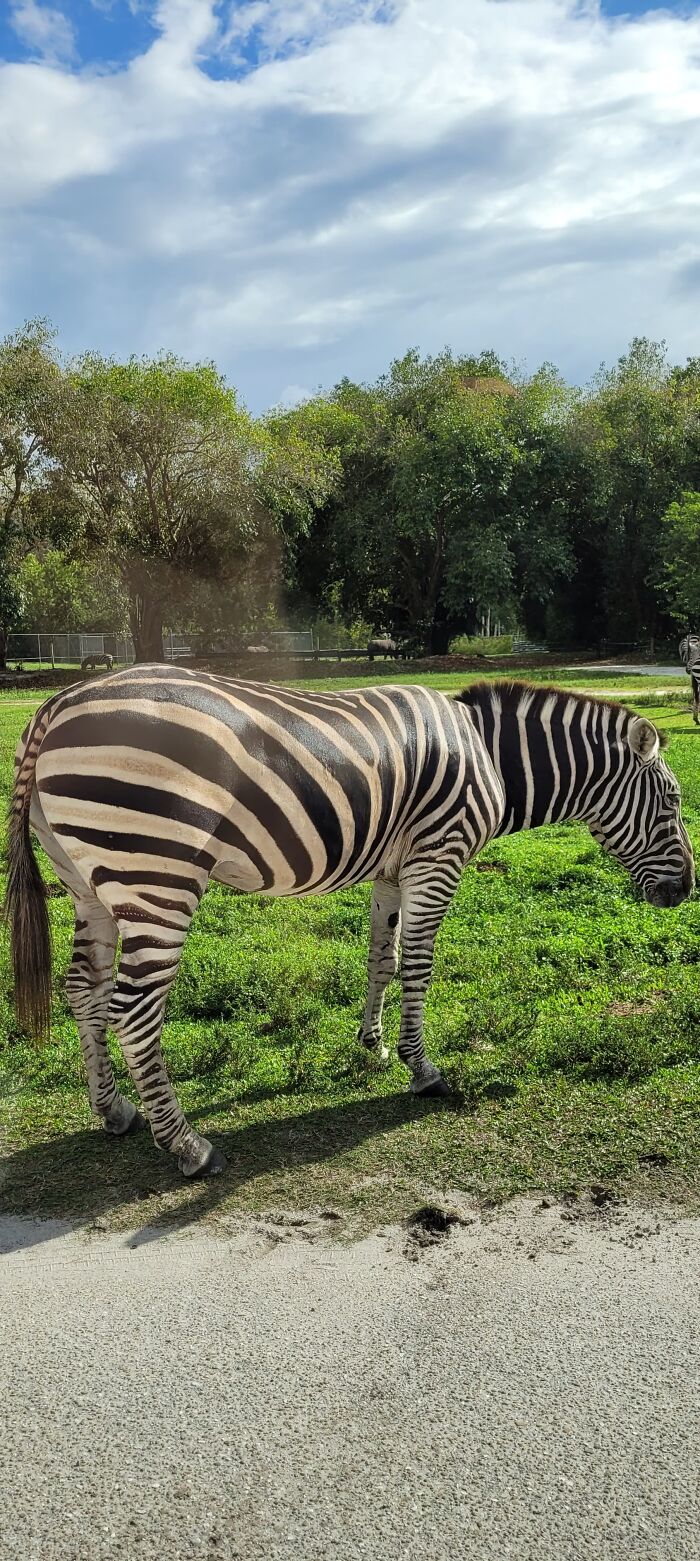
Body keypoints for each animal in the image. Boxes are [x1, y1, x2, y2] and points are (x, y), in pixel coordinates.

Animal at [5, 669, 694, 1179]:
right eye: (674, 801)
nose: (686, 891)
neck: (491, 758)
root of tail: (54, 706)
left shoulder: (394, 866)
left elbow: (382, 957)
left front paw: (374, 1044)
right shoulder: (438, 855)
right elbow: (418, 962)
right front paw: (423, 1070)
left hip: (87, 880)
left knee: (83, 992)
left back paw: (113, 1110)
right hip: (156, 873)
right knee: (132, 1009)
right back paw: (186, 1146)